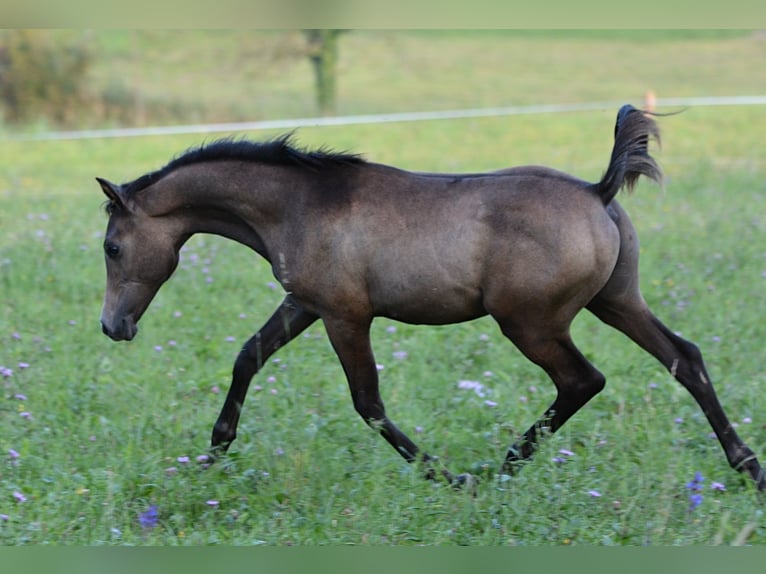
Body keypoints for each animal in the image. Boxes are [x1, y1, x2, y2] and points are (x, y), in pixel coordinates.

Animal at [97, 106, 766, 492]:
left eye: (111, 245)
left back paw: (497, 472)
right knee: (685, 358)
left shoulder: (345, 316)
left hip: (530, 323)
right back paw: (749, 468)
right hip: (617, 302)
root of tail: (597, 192)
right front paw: (212, 454)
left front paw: (444, 475)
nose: (112, 327)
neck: (300, 204)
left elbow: (367, 402)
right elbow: (248, 357)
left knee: (583, 380)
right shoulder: (306, 305)